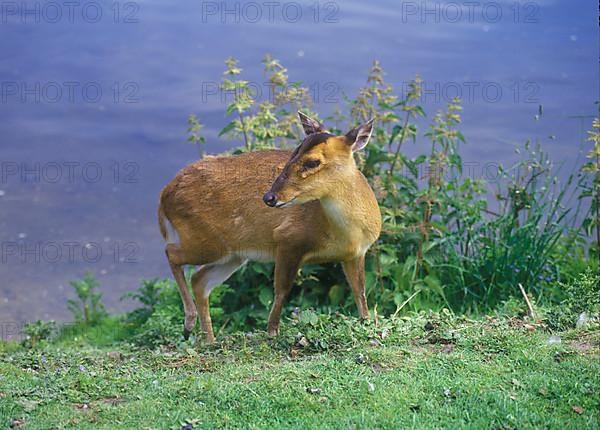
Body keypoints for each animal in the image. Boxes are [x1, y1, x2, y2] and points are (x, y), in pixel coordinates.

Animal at [158, 112, 380, 340]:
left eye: (313, 162)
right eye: (293, 152)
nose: (269, 197)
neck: (345, 235)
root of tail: (164, 195)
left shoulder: (356, 253)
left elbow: (360, 292)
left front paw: (368, 323)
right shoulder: (288, 239)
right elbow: (281, 290)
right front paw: (272, 332)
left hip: (233, 254)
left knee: (199, 280)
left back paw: (208, 340)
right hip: (206, 241)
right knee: (172, 254)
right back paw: (189, 323)